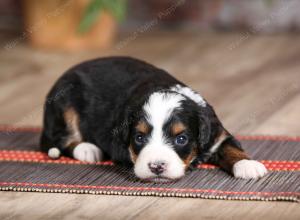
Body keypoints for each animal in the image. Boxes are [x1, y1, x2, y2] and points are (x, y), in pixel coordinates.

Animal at [40, 56, 268, 182]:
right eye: (139, 138)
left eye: (181, 139)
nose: (157, 167)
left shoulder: (217, 134)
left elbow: (231, 147)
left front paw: (248, 165)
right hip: (64, 106)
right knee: (60, 138)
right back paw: (88, 149)